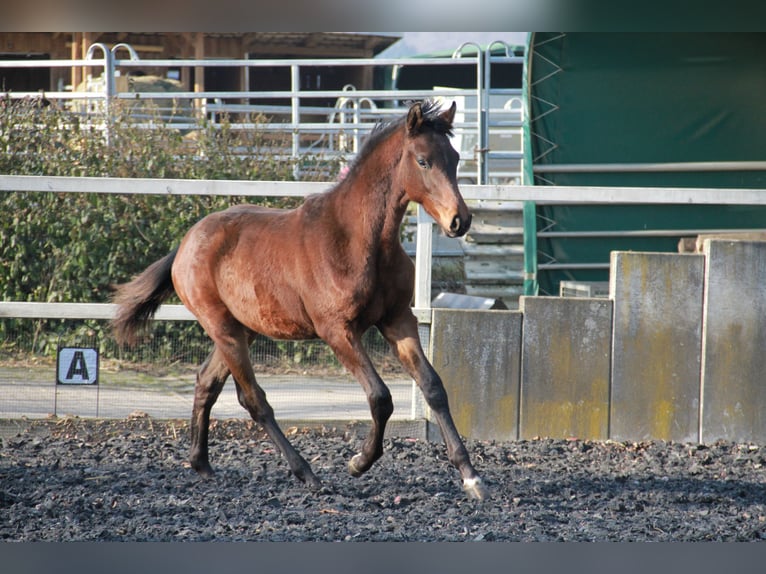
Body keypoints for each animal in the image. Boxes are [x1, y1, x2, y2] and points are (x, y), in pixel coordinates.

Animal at [112, 101, 488, 502]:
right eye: (423, 161)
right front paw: (358, 462)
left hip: (243, 329)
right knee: (254, 399)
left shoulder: (398, 320)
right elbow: (380, 396)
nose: (460, 220)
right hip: (222, 327)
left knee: (206, 382)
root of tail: (186, 243)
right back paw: (306, 473)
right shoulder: (338, 331)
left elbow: (433, 387)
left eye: (454, 157)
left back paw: (202, 465)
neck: (359, 241)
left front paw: (470, 476)